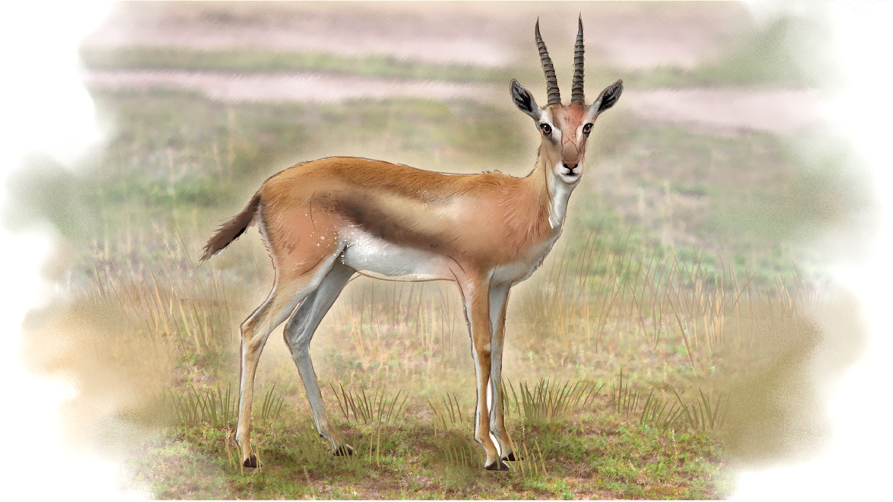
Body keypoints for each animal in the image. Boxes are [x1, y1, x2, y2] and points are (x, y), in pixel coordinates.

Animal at [201, 18, 622, 471]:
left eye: (588, 124)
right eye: (546, 125)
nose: (570, 165)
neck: (518, 203)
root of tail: (264, 189)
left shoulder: (501, 286)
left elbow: (499, 352)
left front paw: (508, 445)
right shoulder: (473, 280)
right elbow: (481, 349)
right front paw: (490, 452)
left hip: (335, 273)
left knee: (296, 333)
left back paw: (336, 442)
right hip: (301, 273)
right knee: (253, 329)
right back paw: (248, 452)